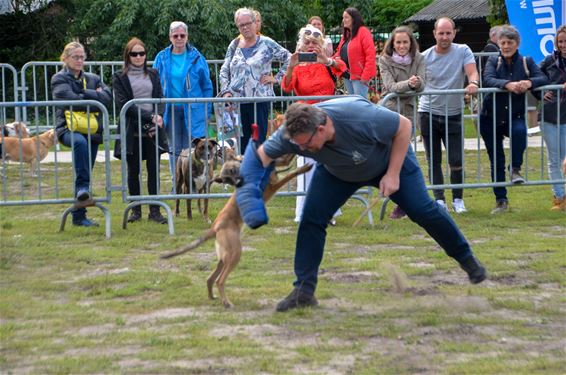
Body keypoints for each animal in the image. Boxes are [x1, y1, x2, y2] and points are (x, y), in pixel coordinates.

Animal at [161, 156, 316, 308]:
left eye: (232, 171)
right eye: (228, 180)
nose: (240, 183)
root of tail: (215, 226)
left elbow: (287, 159)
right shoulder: (273, 186)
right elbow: (289, 175)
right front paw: (302, 168)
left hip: (224, 257)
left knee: (210, 278)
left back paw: (213, 297)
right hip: (235, 253)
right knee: (219, 280)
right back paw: (227, 303)